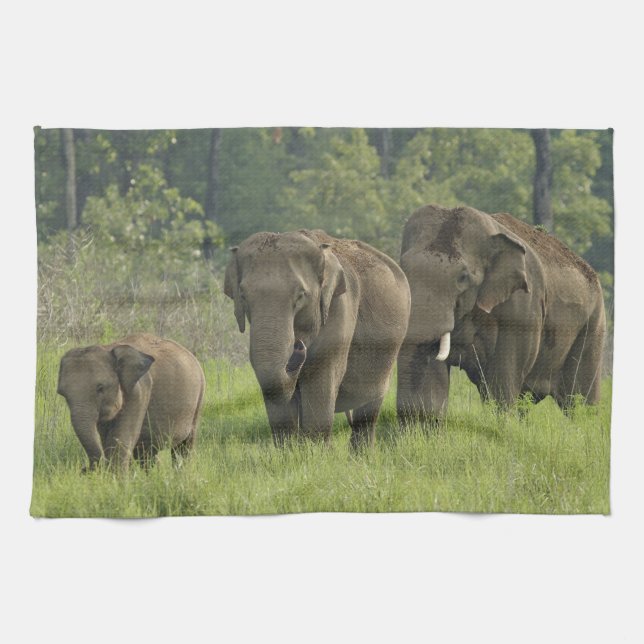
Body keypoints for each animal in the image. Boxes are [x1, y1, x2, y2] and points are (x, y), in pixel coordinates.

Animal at [57, 333, 205, 471]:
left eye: (100, 388)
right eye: (63, 394)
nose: (84, 469)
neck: (108, 348)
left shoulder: (139, 392)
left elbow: (121, 439)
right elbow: (107, 439)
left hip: (198, 399)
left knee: (184, 446)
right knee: (147, 452)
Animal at [224, 229, 411, 447]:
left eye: (300, 296)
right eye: (243, 296)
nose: (298, 345)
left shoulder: (340, 310)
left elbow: (320, 382)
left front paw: (315, 451)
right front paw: (290, 450)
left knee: (367, 413)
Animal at [396, 204, 606, 423]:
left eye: (463, 277)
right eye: (403, 268)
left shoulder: (521, 308)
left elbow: (503, 377)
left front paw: (500, 425)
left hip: (594, 324)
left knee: (580, 400)